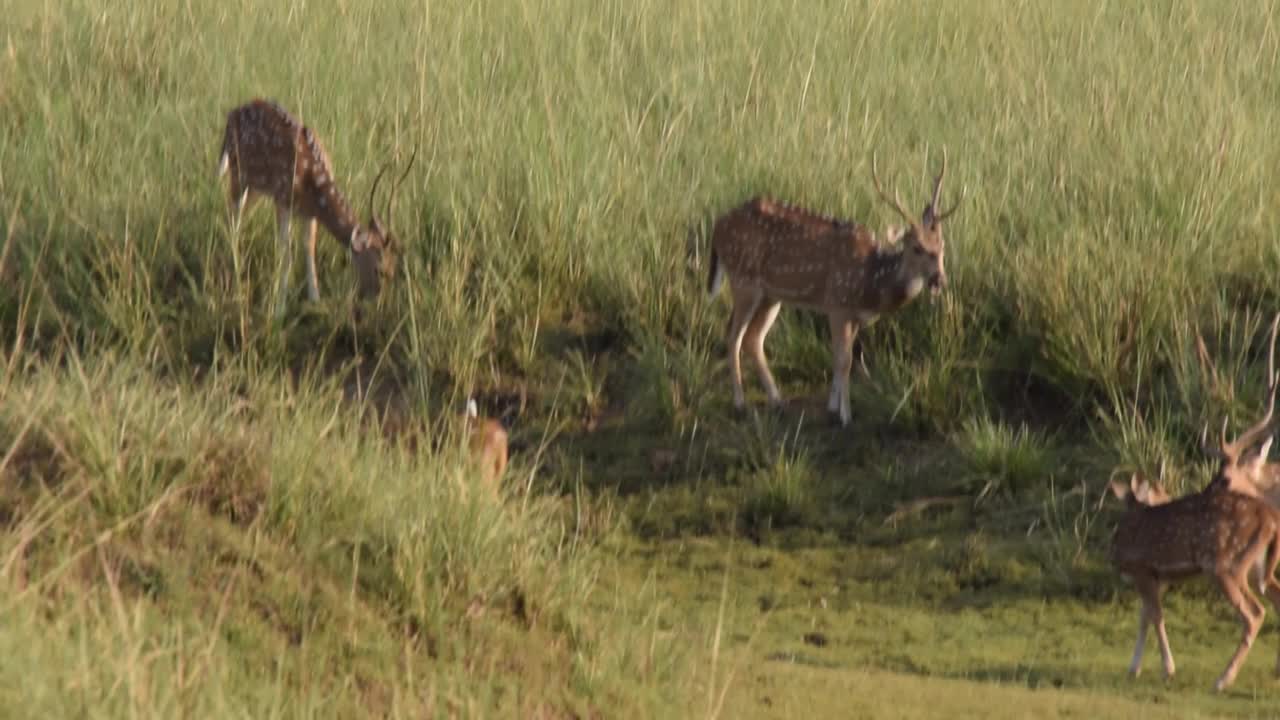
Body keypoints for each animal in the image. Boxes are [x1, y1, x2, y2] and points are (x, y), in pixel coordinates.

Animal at [216, 97, 414, 313]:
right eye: (379, 270)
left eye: (394, 270)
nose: (377, 301)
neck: (310, 181)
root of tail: (232, 113)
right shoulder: (282, 199)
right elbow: (286, 252)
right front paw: (280, 308)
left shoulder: (309, 213)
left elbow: (309, 247)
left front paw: (315, 300)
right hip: (237, 174)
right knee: (232, 217)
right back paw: (232, 271)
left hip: (255, 188)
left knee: (238, 215)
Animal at [706, 149, 962, 422]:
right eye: (916, 248)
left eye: (942, 246)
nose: (939, 280)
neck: (870, 283)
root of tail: (717, 227)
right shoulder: (837, 304)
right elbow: (844, 360)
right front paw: (845, 416)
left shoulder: (854, 315)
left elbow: (844, 356)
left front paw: (832, 407)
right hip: (743, 280)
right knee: (734, 335)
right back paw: (740, 403)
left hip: (771, 295)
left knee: (753, 338)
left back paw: (777, 401)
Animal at [1105, 312, 1280, 691]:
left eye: (1224, 479)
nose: (1203, 493)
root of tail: (1272, 519)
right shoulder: (1155, 576)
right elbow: (1145, 616)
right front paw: (1134, 668)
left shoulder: (1144, 568)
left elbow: (1154, 616)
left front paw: (1167, 669)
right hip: (1259, 568)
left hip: (1226, 565)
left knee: (1255, 614)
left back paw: (1222, 680)